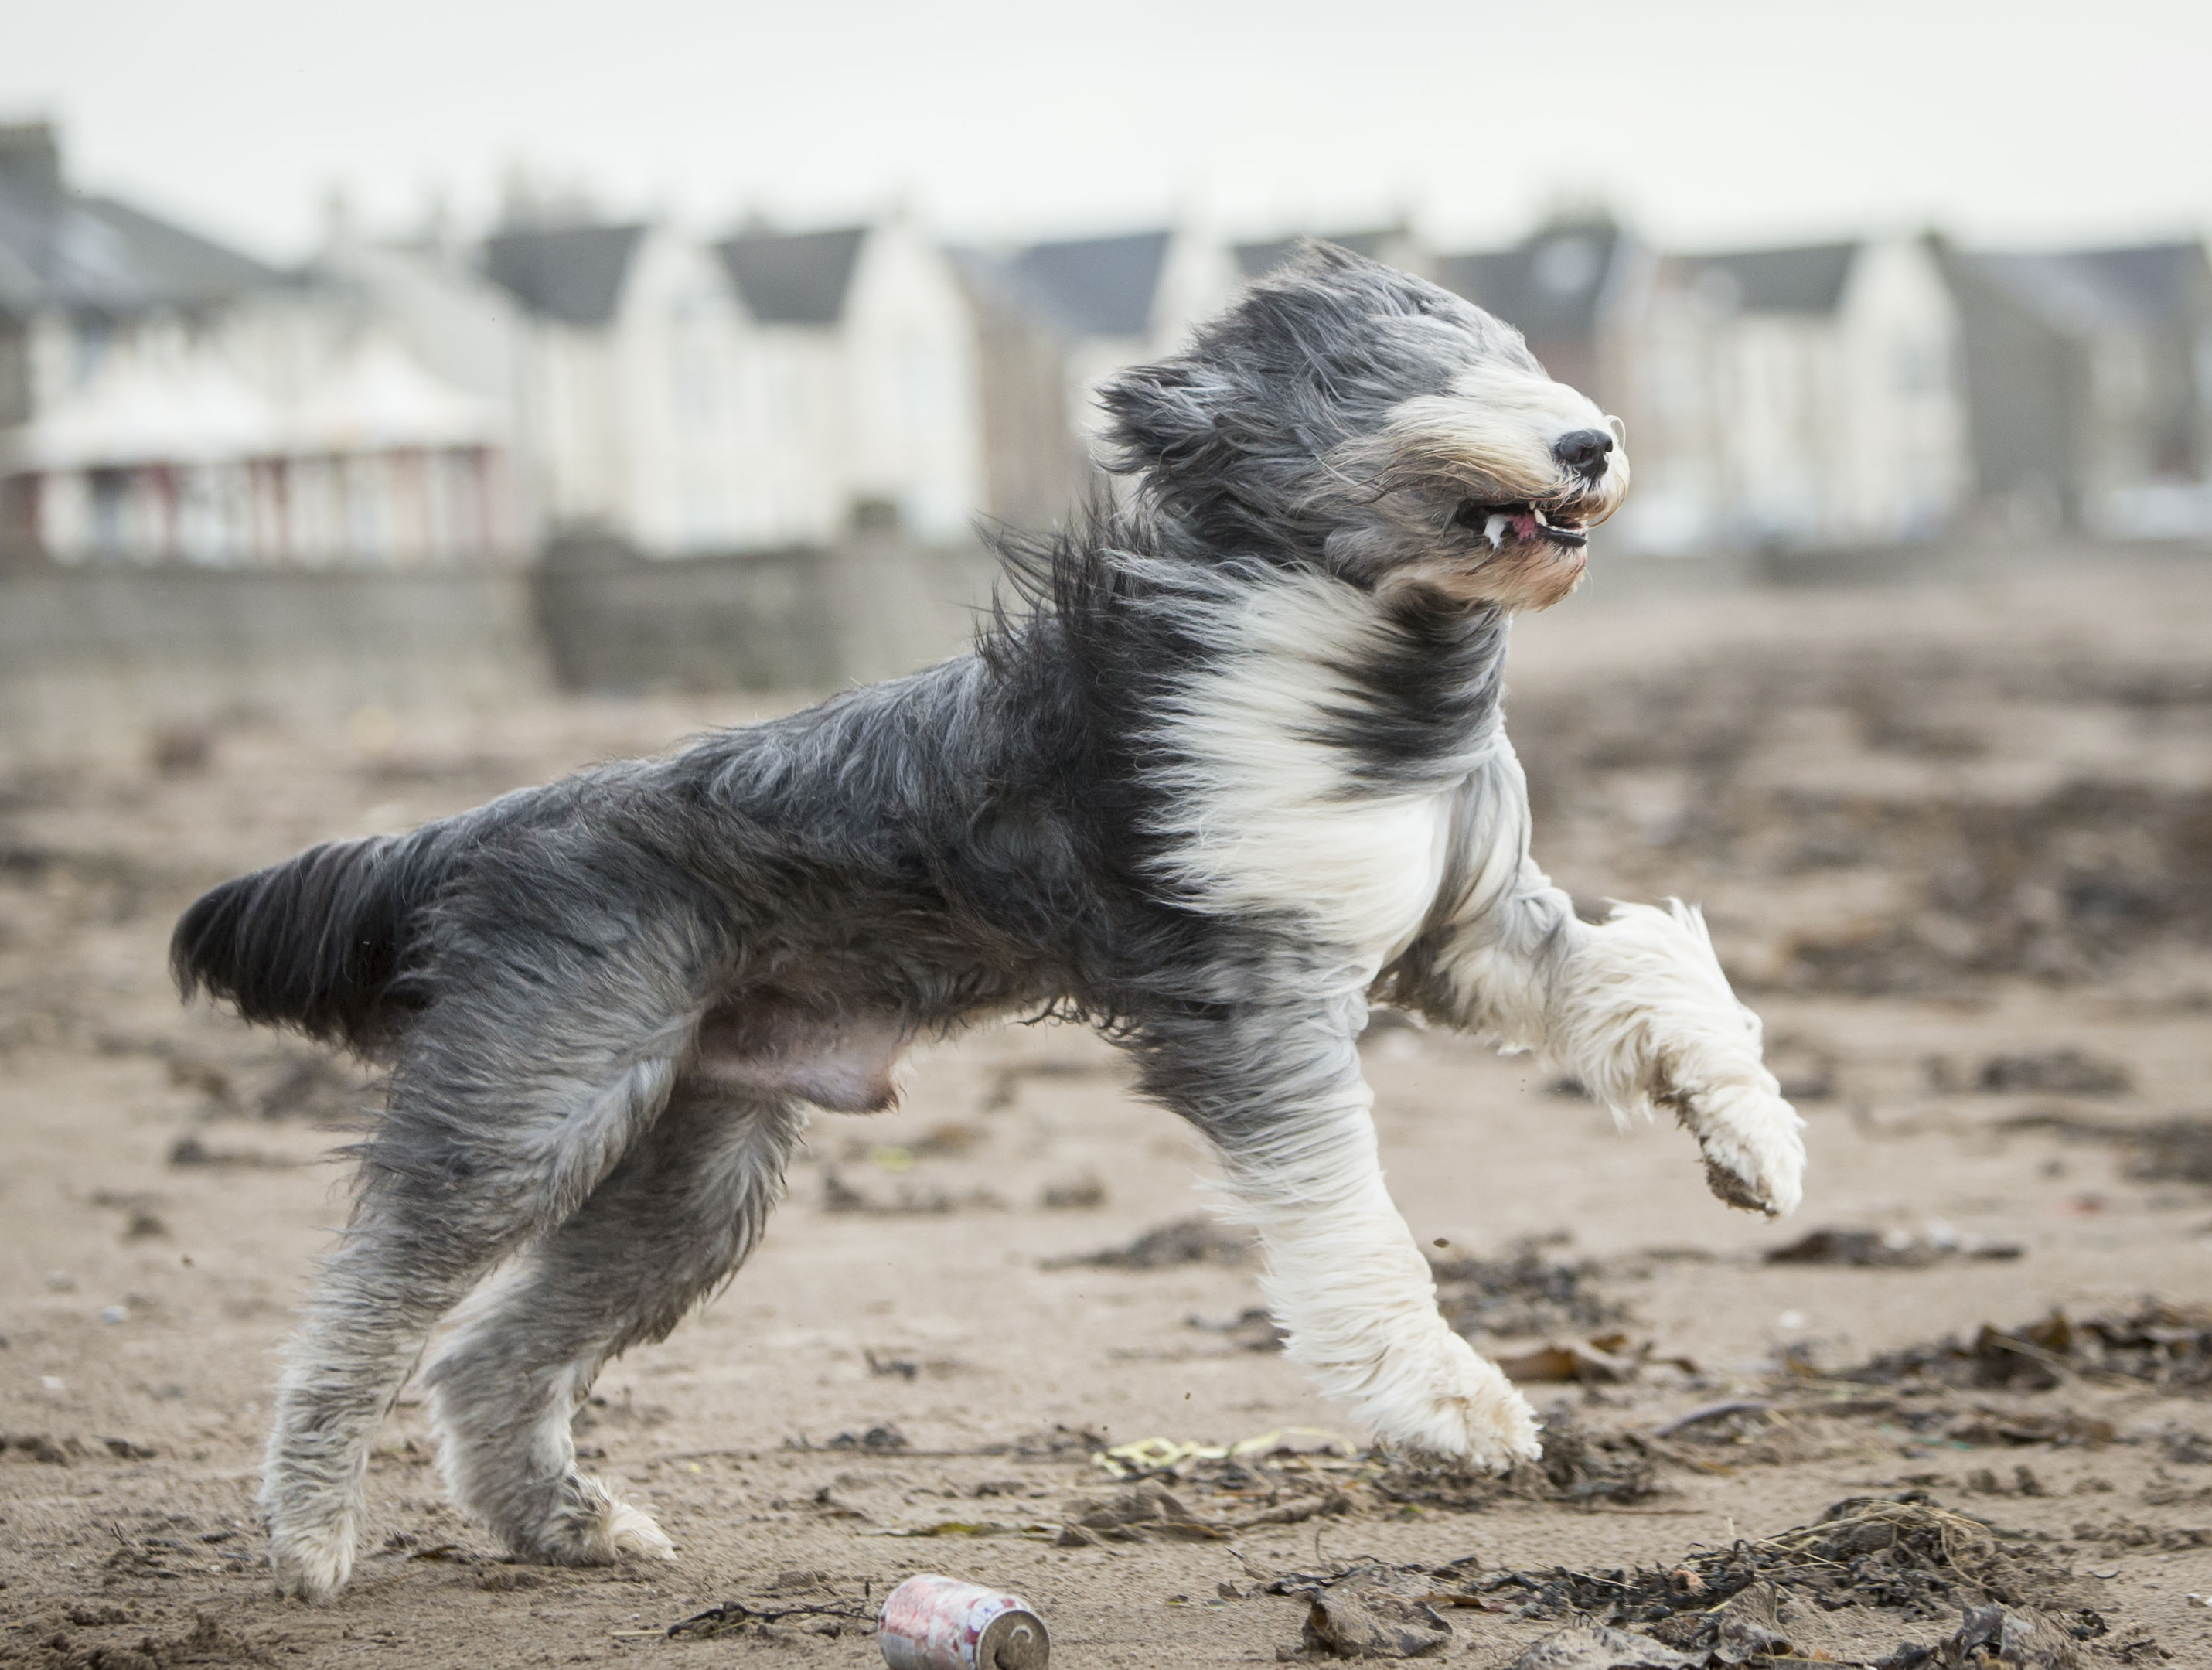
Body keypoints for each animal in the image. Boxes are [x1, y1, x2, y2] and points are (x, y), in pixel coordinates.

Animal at [168, 242, 1796, 1601]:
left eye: (1517, 354)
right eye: (1417, 374)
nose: (1589, 442)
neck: (1360, 664)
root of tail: (499, 824)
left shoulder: (1460, 933)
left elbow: (1651, 974)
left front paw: (1752, 1142)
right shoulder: (1256, 992)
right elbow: (1346, 1213)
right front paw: (1452, 1401)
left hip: (696, 1174)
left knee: (489, 1358)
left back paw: (565, 1526)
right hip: (542, 1099)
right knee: (370, 1307)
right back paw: (309, 1537)